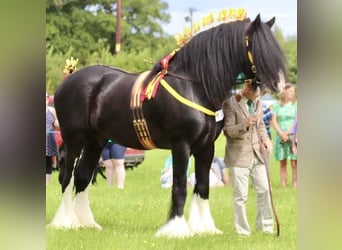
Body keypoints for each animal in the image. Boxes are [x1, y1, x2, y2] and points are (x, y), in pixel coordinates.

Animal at [49, 14, 288, 237]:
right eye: (259, 48)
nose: (280, 85)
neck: (192, 85)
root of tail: (68, 81)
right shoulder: (181, 146)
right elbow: (180, 186)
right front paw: (176, 229)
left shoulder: (206, 148)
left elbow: (202, 186)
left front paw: (204, 228)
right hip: (74, 140)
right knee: (67, 177)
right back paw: (65, 222)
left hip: (95, 141)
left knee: (82, 177)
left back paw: (85, 223)